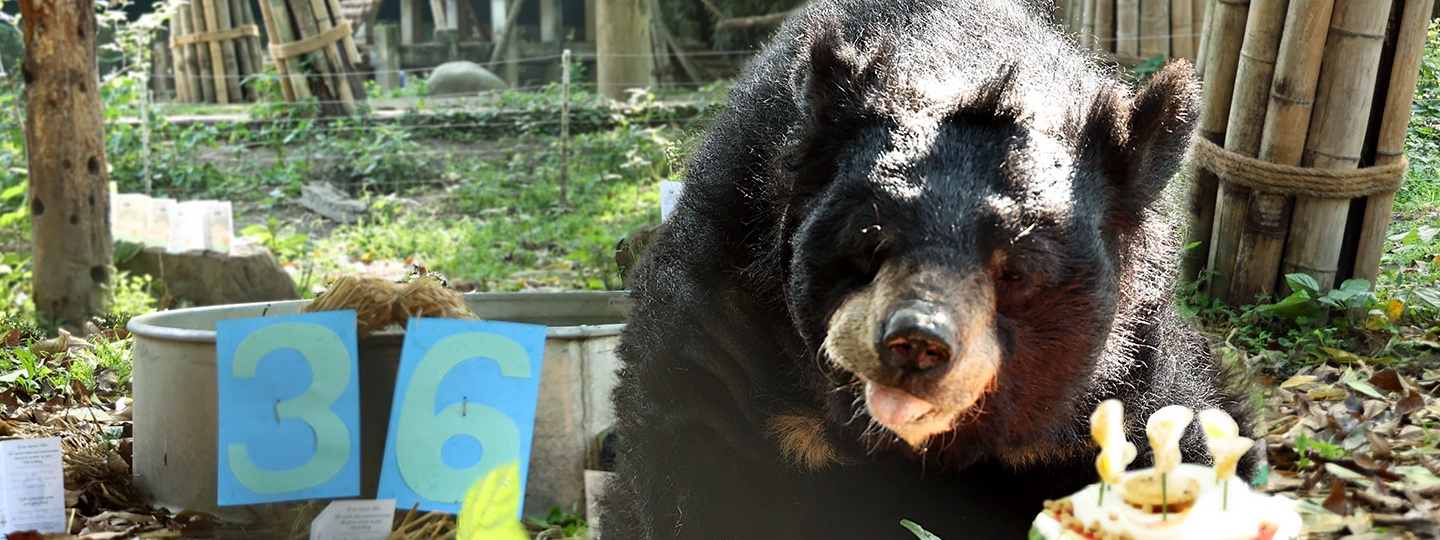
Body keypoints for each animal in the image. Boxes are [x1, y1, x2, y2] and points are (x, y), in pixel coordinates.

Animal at [598, 0, 1259, 538]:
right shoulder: (722, 314)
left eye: (1016, 271)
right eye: (872, 241)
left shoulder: (1120, 378)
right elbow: (694, 456)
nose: (916, 343)